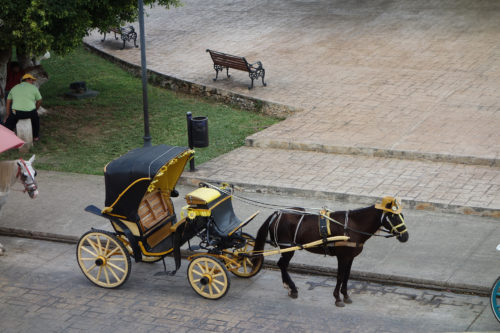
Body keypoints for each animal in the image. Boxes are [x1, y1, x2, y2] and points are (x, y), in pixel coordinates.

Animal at [256, 195, 408, 306]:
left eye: (402, 215)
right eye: (393, 216)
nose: (405, 236)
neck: (352, 226)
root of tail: (276, 214)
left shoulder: (350, 257)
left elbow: (347, 276)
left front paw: (345, 295)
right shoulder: (342, 256)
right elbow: (340, 276)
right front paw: (337, 298)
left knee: (282, 265)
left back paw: (289, 287)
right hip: (288, 247)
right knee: (282, 264)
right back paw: (292, 288)